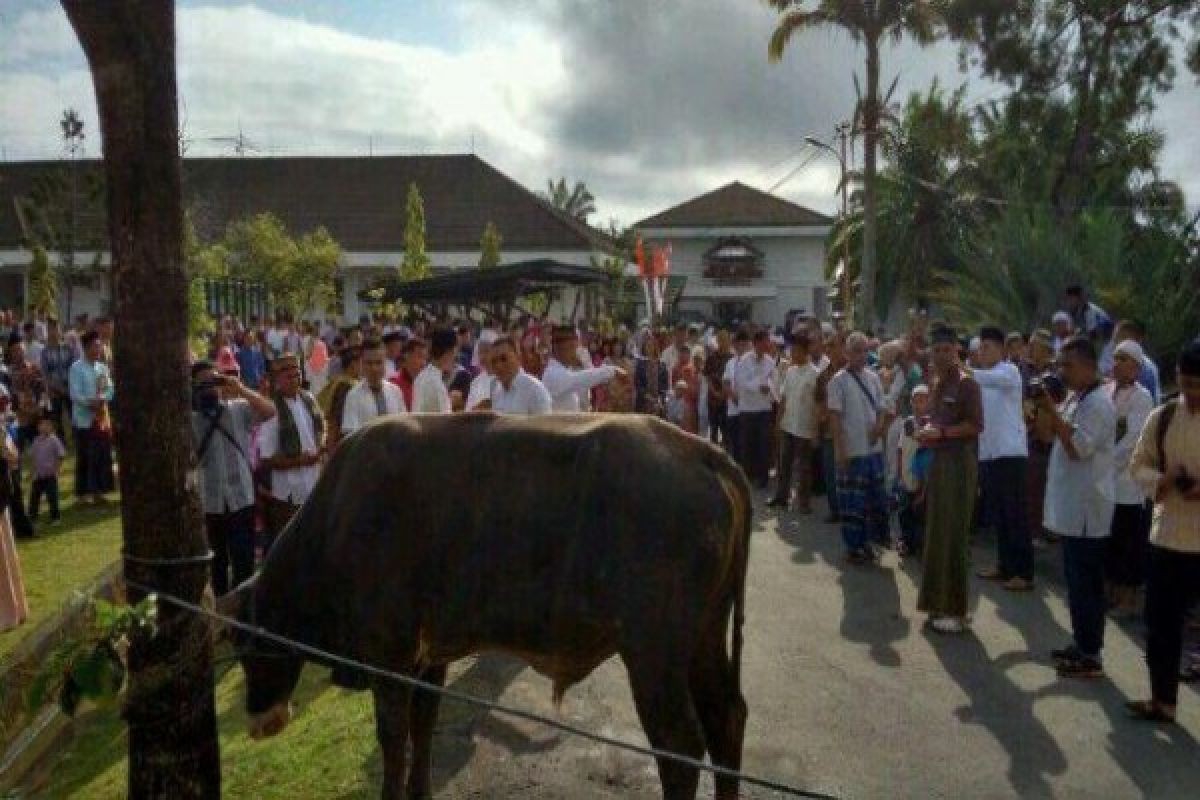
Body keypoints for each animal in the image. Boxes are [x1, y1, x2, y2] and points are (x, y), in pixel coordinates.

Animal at [222, 417, 748, 796]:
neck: (336, 520)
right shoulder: (429, 658)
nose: (259, 720)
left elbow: (394, 740)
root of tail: (702, 450)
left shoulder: (389, 659)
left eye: (245, 646)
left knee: (680, 746)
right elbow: (424, 727)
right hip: (703, 639)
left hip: (654, 655)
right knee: (726, 718)